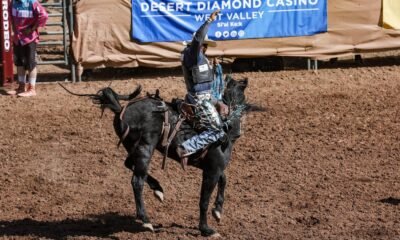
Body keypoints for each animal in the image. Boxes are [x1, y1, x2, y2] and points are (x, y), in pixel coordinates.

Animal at [59, 76, 248, 237]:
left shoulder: (212, 167)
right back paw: (146, 220)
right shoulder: (212, 170)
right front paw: (206, 229)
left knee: (129, 165)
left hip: (134, 149)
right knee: (137, 181)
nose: (237, 133)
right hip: (145, 149)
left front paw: (218, 211)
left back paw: (158, 189)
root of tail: (121, 109)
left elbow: (224, 180)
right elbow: (204, 199)